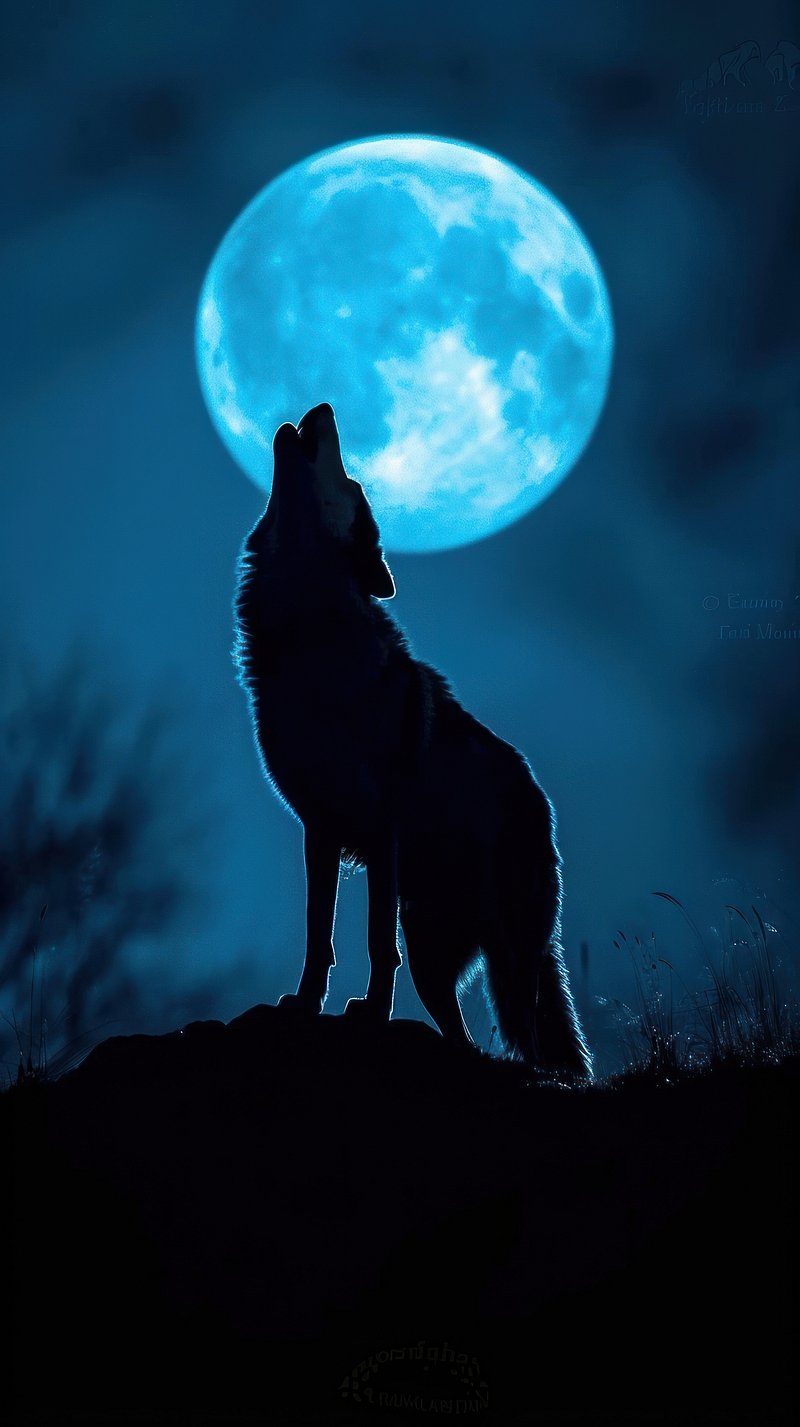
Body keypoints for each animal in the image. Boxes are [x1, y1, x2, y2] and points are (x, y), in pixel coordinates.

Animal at [233, 402, 592, 1080]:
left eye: (352, 484)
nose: (323, 407)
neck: (312, 639)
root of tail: (540, 803)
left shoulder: (381, 828)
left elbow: (374, 942)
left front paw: (373, 1015)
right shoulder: (319, 827)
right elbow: (318, 935)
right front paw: (305, 1006)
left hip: (500, 954)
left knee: (526, 1037)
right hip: (432, 946)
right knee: (460, 1031)